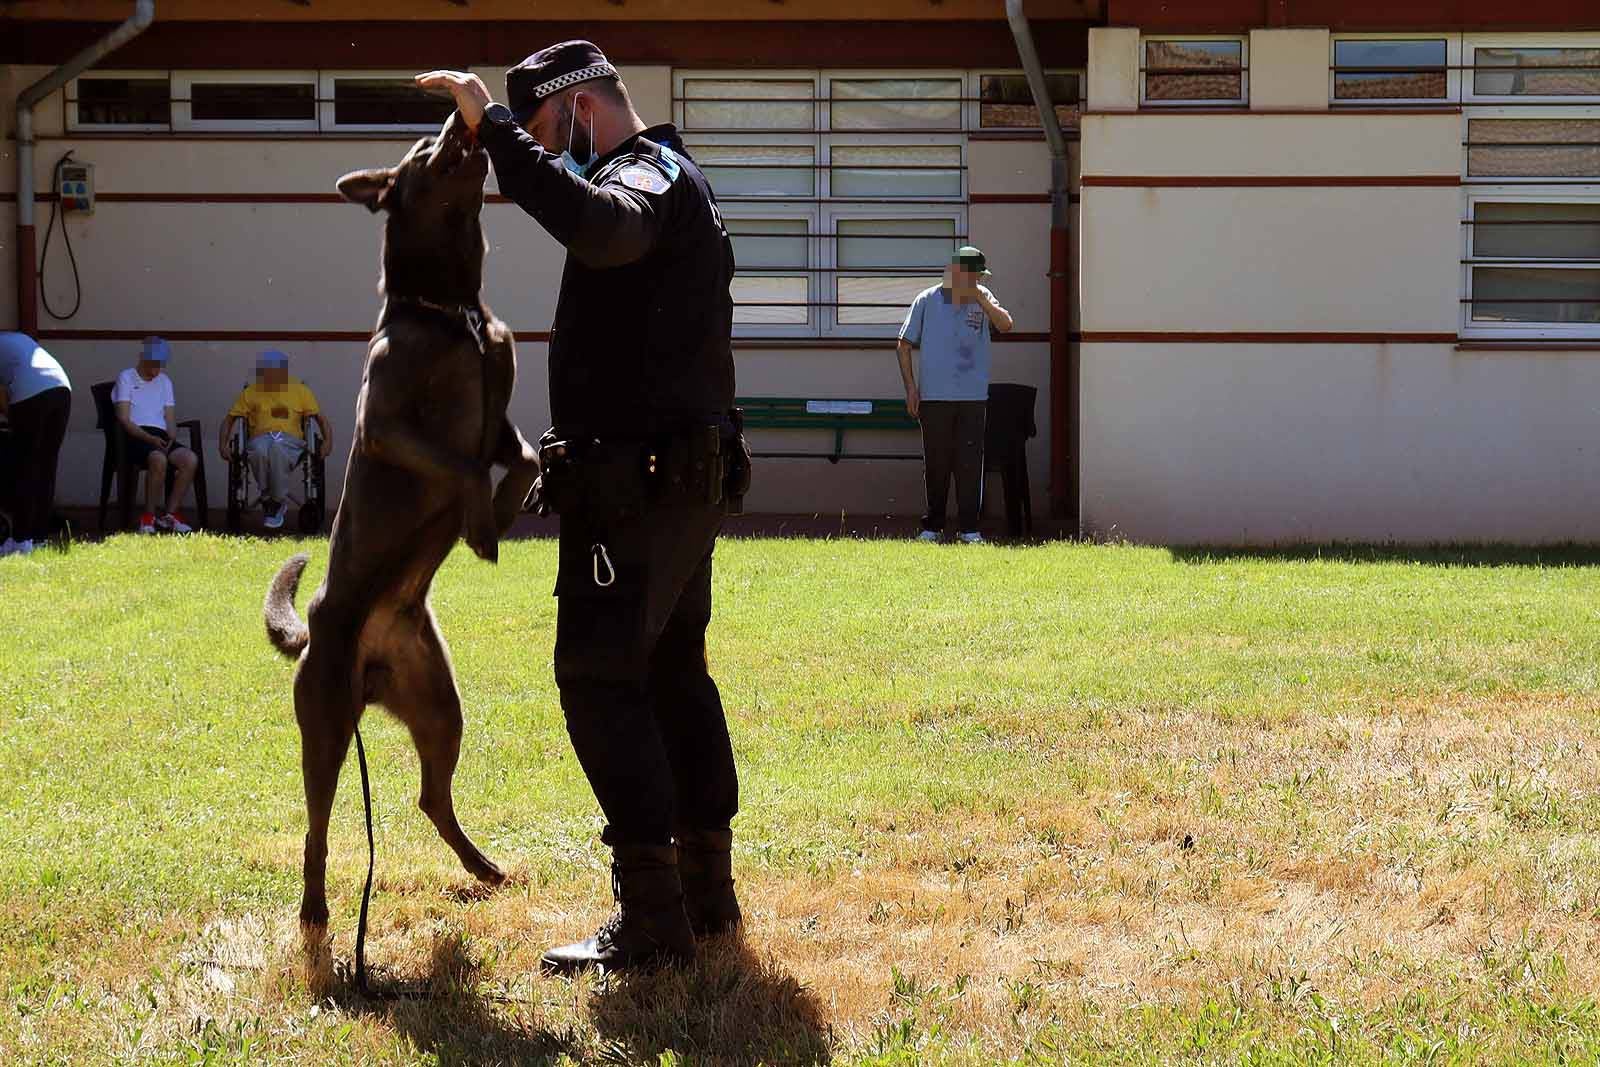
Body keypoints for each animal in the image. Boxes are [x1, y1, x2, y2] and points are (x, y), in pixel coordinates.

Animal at [262, 112, 537, 940]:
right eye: (422, 150)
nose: (456, 118)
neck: (454, 311)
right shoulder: (385, 425)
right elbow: (460, 467)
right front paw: (481, 523)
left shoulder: (500, 420)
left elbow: (523, 459)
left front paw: (501, 515)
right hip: (324, 726)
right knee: (317, 828)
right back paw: (316, 912)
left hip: (441, 706)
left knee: (430, 797)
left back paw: (485, 867)